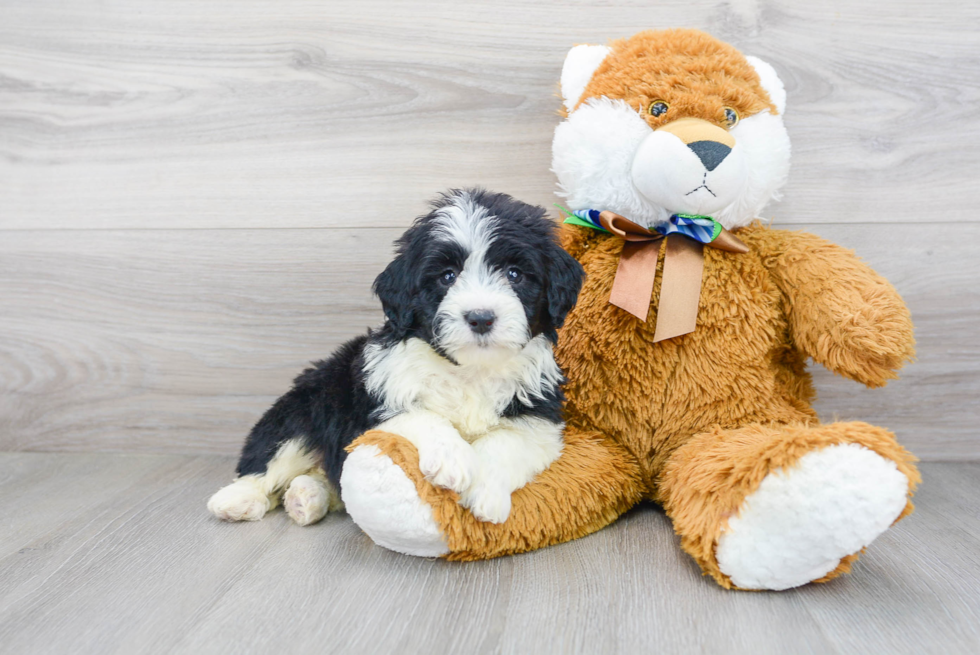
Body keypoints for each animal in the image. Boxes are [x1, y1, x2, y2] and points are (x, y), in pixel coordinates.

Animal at [208, 190, 584, 528]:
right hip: (305, 408)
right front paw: (452, 459)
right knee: (270, 460)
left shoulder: (539, 419)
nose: (480, 318)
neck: (469, 372)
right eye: (447, 276)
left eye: (514, 274)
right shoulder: (370, 409)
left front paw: (486, 493)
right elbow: (422, 415)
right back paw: (237, 499)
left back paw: (306, 498)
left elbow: (506, 442)